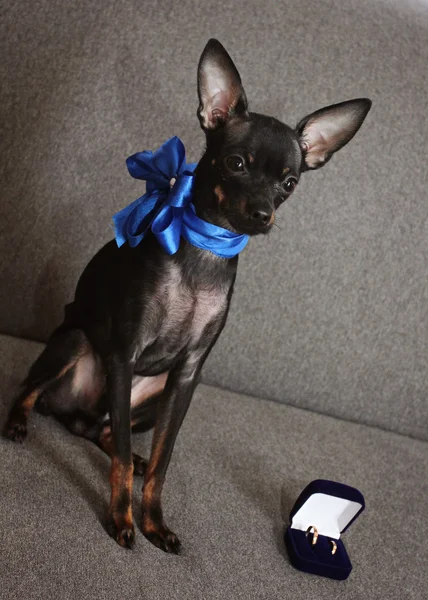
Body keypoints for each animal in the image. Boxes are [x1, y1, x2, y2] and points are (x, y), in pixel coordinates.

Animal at [2, 37, 372, 552]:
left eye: (289, 183)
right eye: (235, 163)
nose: (262, 214)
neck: (206, 250)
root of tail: (79, 410)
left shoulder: (186, 376)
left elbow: (163, 460)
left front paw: (153, 518)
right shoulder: (123, 355)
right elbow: (119, 458)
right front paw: (122, 518)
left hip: (150, 396)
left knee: (104, 429)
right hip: (75, 344)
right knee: (36, 392)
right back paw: (18, 422)